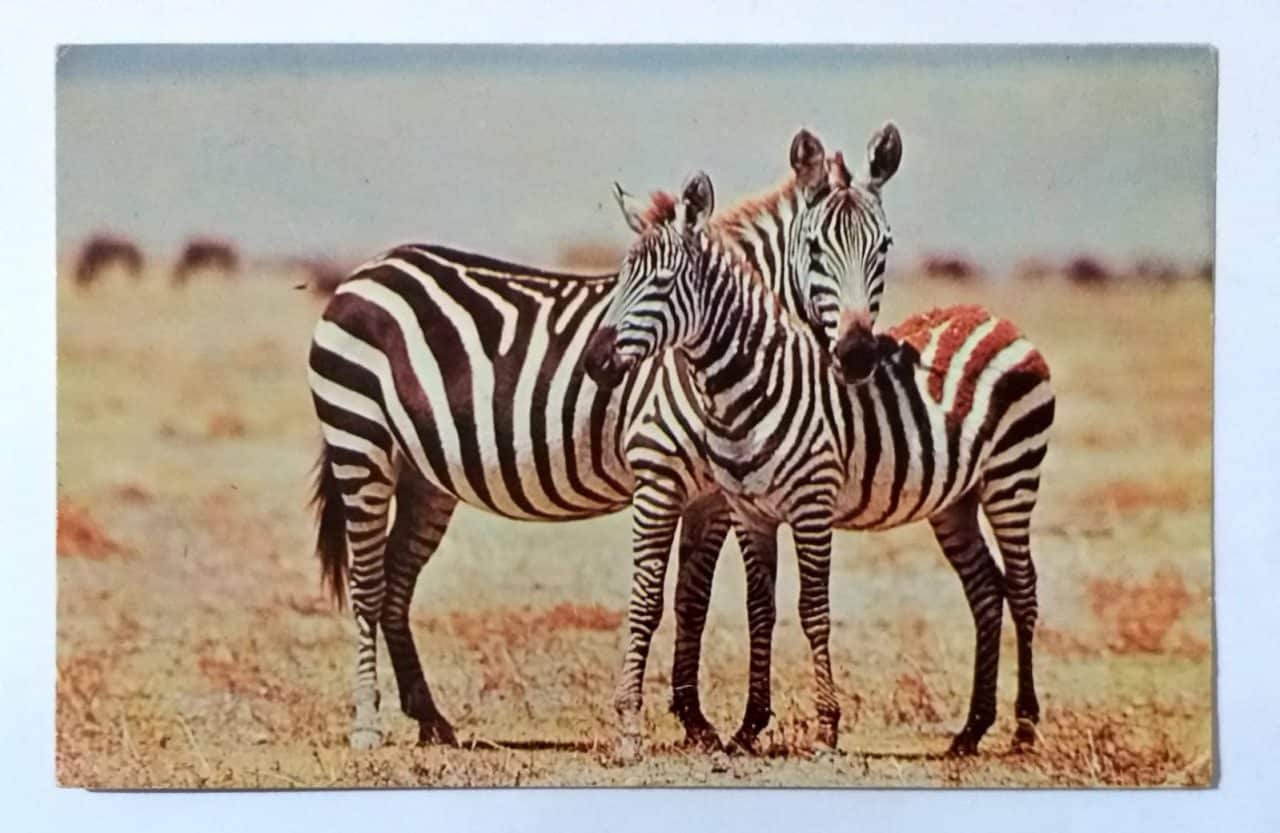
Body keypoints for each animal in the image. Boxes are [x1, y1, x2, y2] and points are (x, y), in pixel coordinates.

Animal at [307, 125, 903, 752]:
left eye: (884, 248)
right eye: (814, 249)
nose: (857, 355)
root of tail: (368, 269)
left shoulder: (712, 494)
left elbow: (692, 601)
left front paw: (695, 722)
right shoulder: (660, 469)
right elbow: (651, 597)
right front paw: (645, 723)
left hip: (424, 474)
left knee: (396, 583)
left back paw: (430, 718)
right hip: (360, 444)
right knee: (368, 583)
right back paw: (368, 723)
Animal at [583, 172, 1054, 756]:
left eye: (664, 283)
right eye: (623, 278)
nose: (595, 361)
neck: (747, 389)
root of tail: (996, 317)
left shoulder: (811, 505)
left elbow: (813, 609)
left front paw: (827, 726)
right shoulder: (751, 511)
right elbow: (760, 611)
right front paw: (749, 727)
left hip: (1013, 477)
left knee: (1024, 586)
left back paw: (1024, 726)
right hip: (956, 500)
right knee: (987, 592)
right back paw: (970, 731)